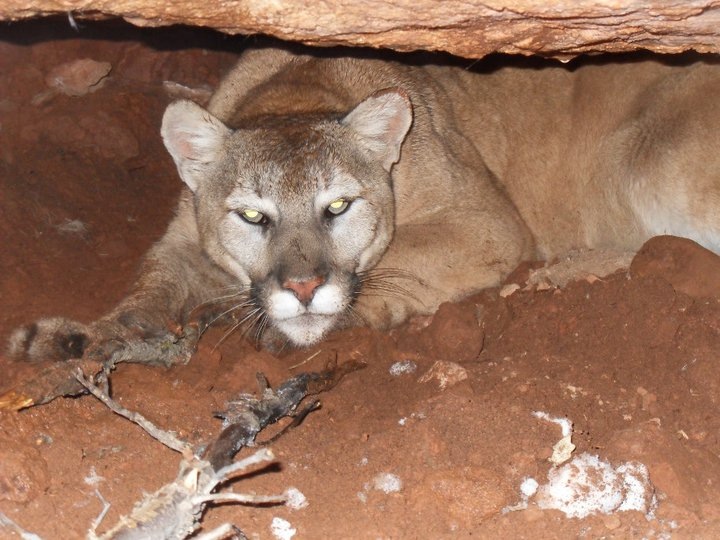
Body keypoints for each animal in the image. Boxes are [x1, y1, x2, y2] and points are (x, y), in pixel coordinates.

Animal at [8, 49, 720, 362]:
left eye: (340, 206)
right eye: (252, 216)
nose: (300, 287)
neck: (295, 92)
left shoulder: (486, 221)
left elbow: (400, 255)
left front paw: (318, 319)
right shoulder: (183, 240)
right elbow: (149, 286)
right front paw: (80, 336)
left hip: (649, 158)